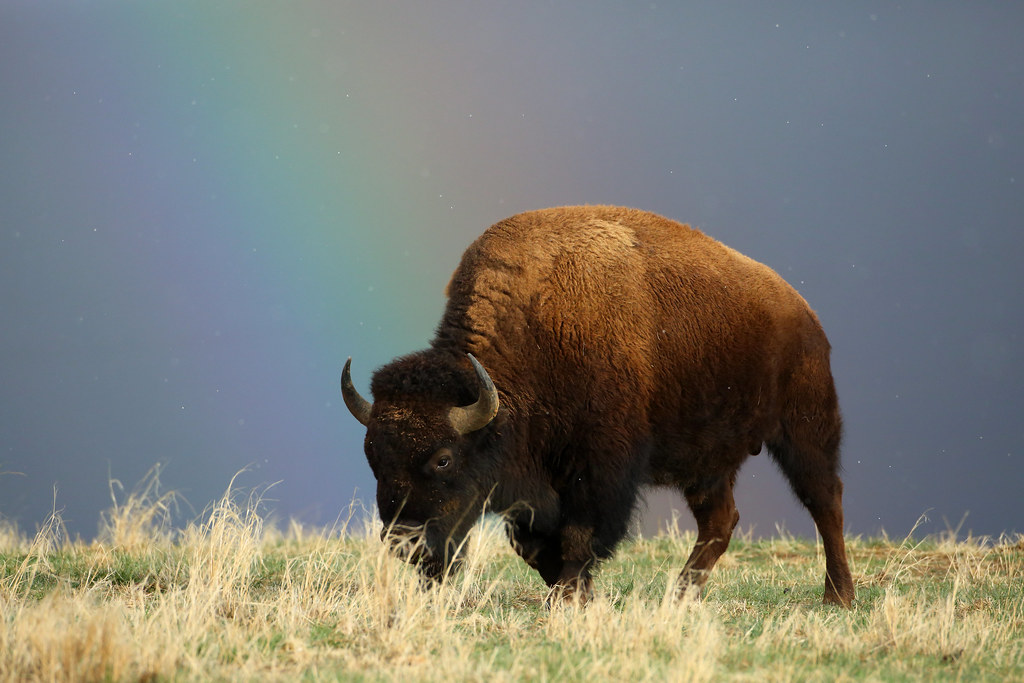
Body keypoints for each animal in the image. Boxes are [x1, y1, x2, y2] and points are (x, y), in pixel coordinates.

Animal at [342, 205, 855, 607]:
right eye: (373, 456)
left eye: (443, 459)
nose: (404, 544)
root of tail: (803, 313)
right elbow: (534, 546)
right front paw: (573, 594)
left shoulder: (600, 469)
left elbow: (578, 537)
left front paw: (571, 595)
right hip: (708, 463)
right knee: (720, 521)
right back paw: (679, 597)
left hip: (804, 430)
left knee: (825, 500)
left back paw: (839, 596)